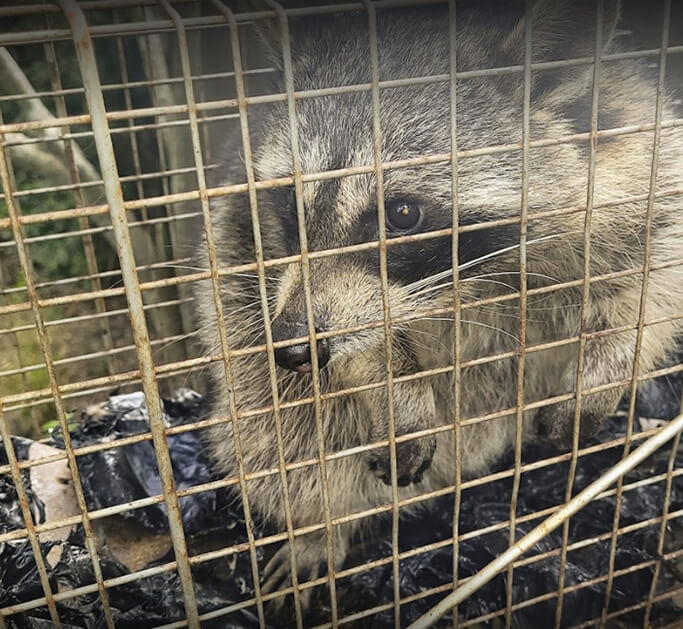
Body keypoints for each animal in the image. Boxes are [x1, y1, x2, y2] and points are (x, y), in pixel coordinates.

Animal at [195, 0, 683, 609]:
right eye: (289, 202)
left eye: (402, 214)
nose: (289, 346)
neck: (476, 275)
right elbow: (359, 350)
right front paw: (394, 386)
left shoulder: (640, 156)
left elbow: (657, 277)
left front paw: (609, 369)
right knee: (284, 440)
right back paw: (316, 529)